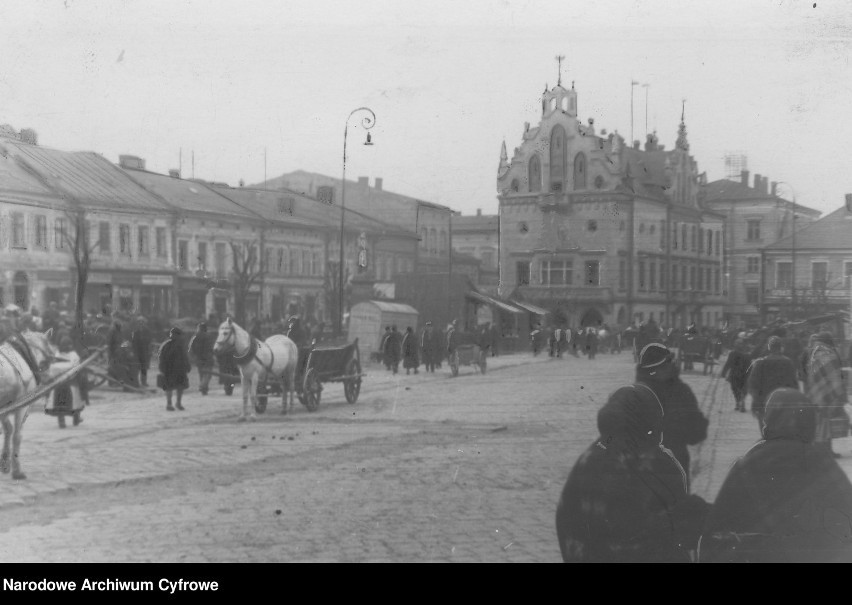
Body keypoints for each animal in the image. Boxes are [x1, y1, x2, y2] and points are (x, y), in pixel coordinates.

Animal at [0, 328, 55, 478]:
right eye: (51, 355)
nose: (49, 380)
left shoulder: (7, 405)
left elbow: (8, 429)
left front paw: (5, 464)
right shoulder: (22, 406)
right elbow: (17, 435)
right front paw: (17, 471)